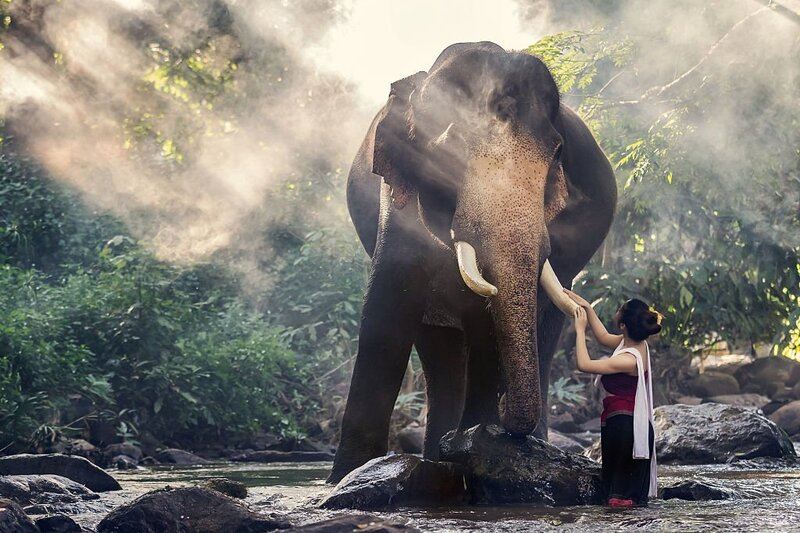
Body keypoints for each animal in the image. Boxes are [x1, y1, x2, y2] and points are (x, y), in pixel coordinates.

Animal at [328, 41, 617, 483]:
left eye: (558, 152)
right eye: (453, 144)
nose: (505, 414)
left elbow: (487, 325)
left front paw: (481, 444)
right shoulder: (397, 197)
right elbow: (386, 310)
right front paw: (344, 478)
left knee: (544, 329)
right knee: (436, 344)